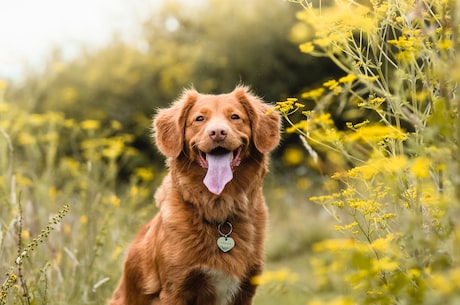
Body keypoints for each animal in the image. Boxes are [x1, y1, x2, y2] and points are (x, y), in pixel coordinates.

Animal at [108, 85, 280, 304]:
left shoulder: (246, 289)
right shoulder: (175, 289)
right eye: (199, 119)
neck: (219, 209)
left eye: (235, 116)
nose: (217, 132)